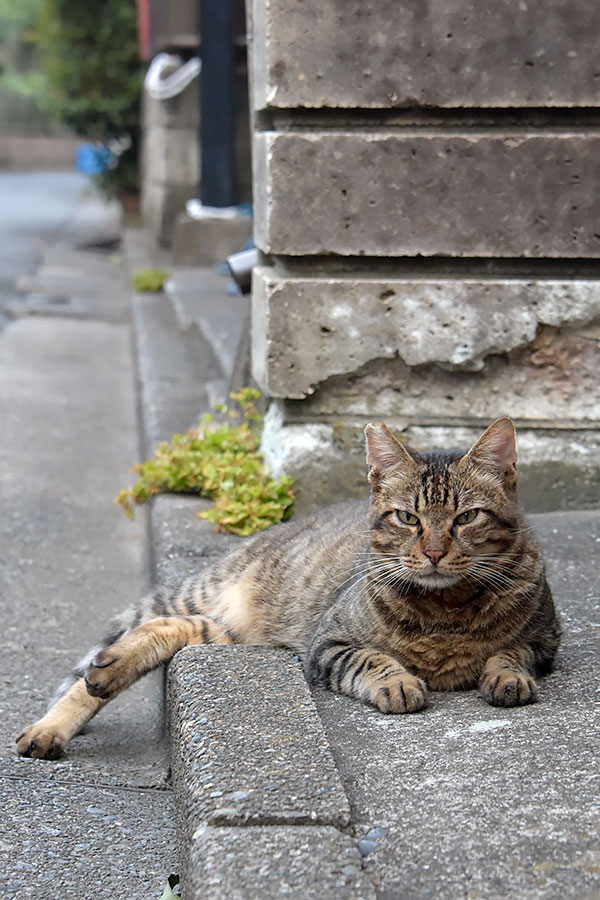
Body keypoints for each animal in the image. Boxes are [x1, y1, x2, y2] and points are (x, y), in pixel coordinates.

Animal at [19, 418, 564, 756]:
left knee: (170, 627)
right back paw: (55, 721)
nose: (432, 552)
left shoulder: (545, 641)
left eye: (466, 517)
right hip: (215, 598)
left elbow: (511, 652)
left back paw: (107, 671)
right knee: (138, 633)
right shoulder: (328, 643)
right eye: (407, 518)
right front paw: (397, 682)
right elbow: (372, 660)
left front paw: (506, 676)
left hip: (229, 633)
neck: (446, 609)